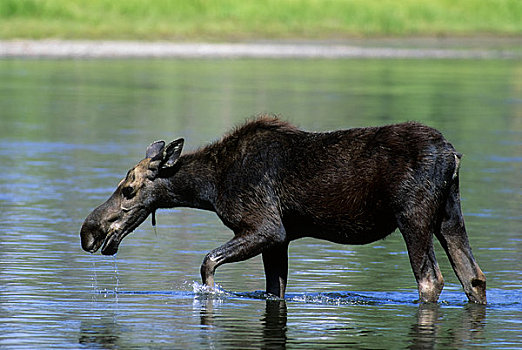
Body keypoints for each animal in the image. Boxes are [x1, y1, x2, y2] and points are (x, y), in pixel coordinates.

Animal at [79, 117, 486, 304]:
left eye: (129, 190)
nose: (89, 232)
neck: (210, 187)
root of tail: (453, 155)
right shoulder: (281, 240)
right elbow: (274, 290)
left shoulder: (265, 227)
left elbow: (208, 262)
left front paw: (210, 295)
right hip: (449, 214)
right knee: (474, 277)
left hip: (413, 216)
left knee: (431, 279)